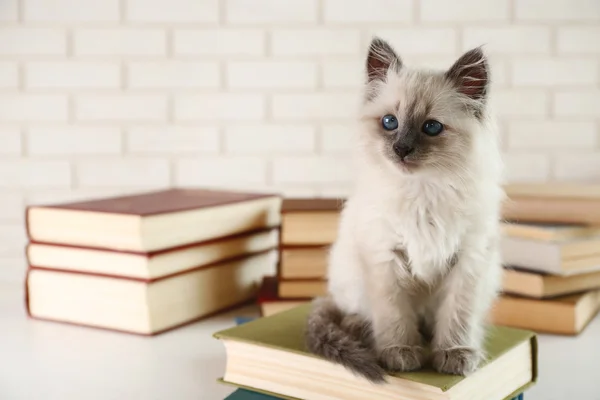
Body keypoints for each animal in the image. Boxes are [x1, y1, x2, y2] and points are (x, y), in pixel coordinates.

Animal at [304, 38, 506, 384]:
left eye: (431, 127)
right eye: (390, 123)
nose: (401, 149)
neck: (423, 190)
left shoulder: (468, 260)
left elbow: (457, 316)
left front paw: (454, 354)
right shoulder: (385, 257)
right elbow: (394, 315)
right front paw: (400, 352)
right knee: (352, 312)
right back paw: (362, 329)